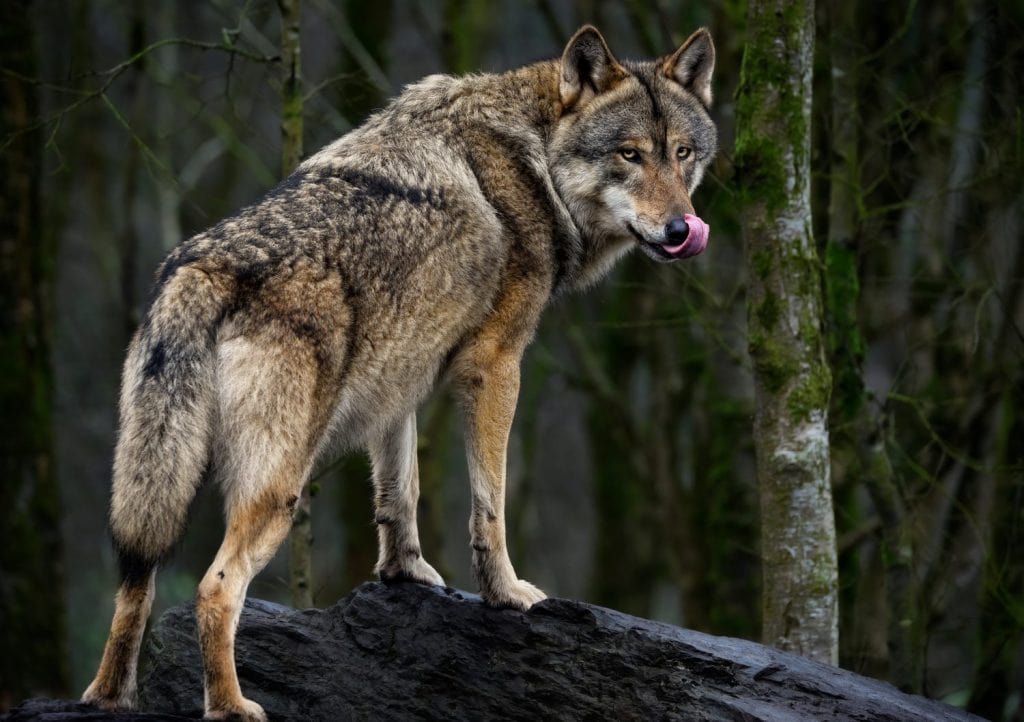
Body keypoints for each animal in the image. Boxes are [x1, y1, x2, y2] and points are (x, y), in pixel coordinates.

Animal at [82, 24, 717, 720]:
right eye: (630, 155)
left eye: (681, 153)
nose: (682, 228)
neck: (535, 156)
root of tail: (202, 269)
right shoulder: (495, 366)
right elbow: (488, 506)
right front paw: (507, 594)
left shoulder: (399, 378)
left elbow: (399, 492)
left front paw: (403, 575)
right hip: (277, 488)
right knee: (215, 588)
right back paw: (230, 706)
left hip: (158, 484)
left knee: (134, 582)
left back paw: (109, 698)